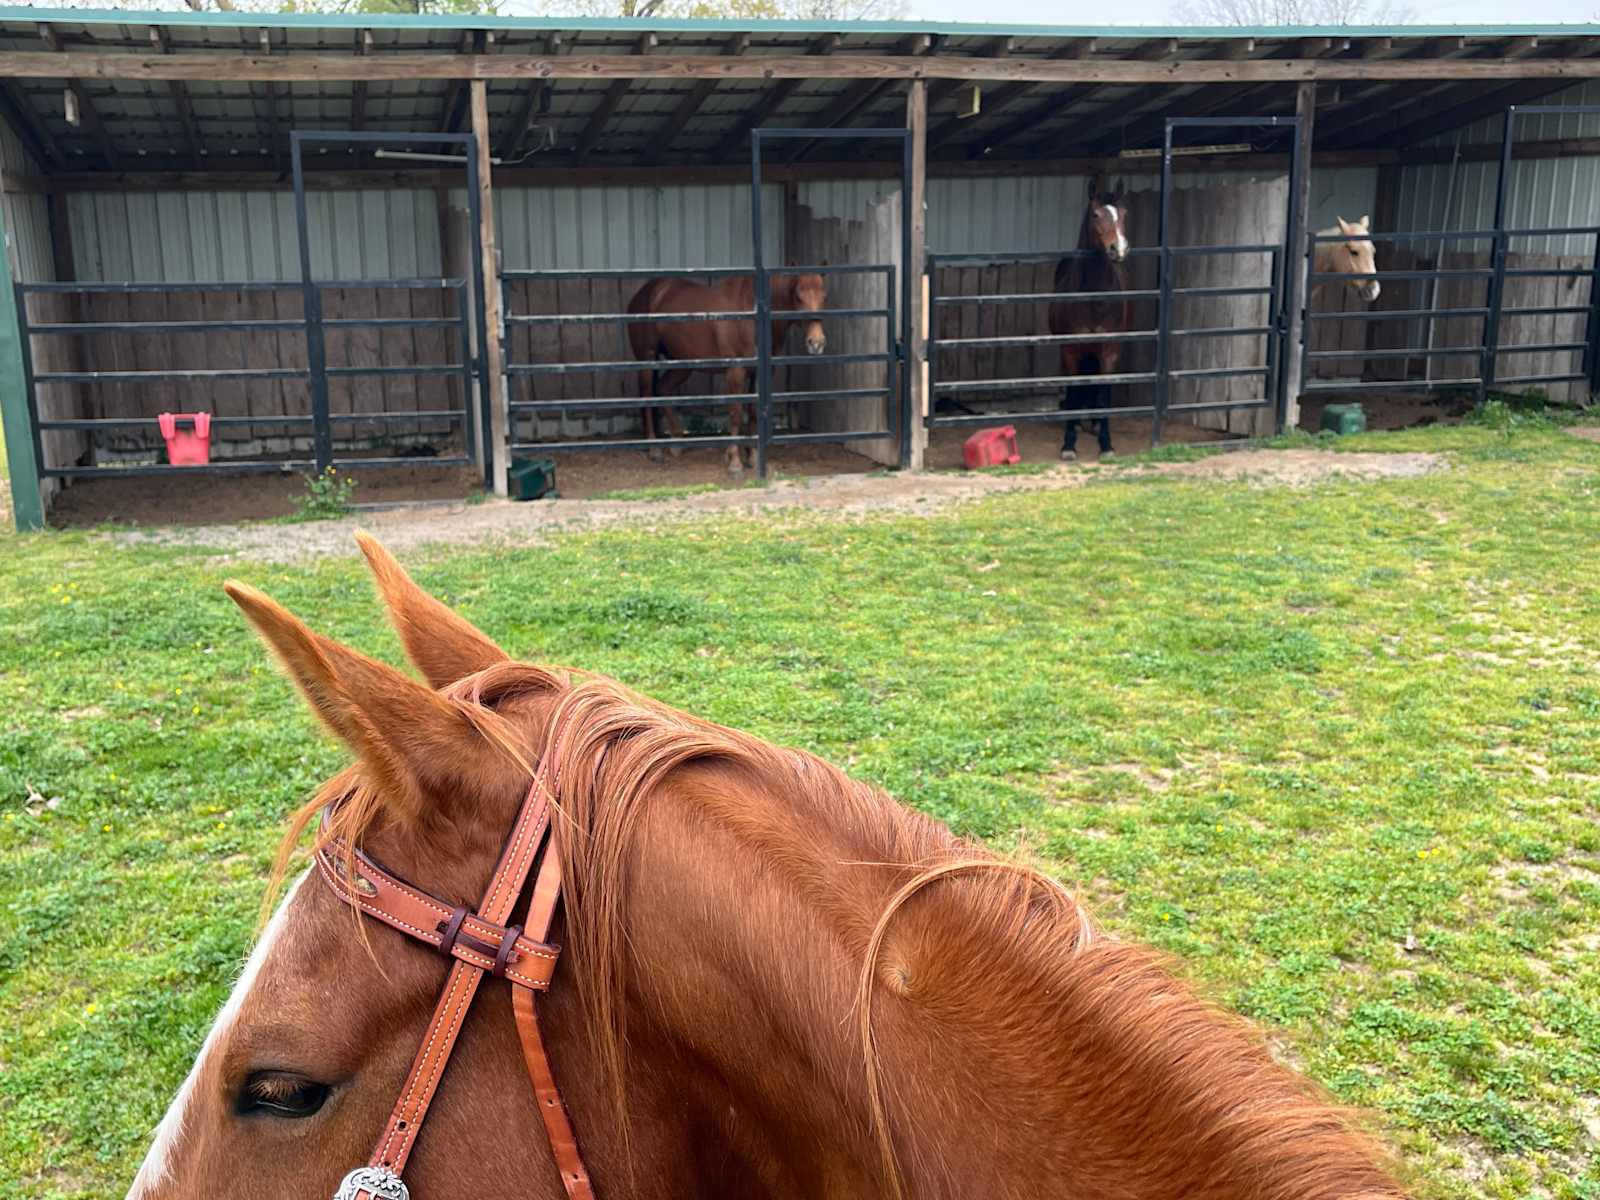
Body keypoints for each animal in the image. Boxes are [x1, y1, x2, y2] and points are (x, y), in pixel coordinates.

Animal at [627, 273, 827, 475]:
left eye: (824, 296)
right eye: (798, 296)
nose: (816, 343)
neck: (753, 314)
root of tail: (648, 292)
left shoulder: (759, 372)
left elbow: (753, 412)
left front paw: (753, 457)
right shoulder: (735, 372)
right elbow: (736, 413)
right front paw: (735, 462)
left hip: (682, 363)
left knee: (663, 389)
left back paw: (676, 441)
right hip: (648, 358)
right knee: (647, 396)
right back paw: (654, 449)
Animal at [1049, 185, 1133, 463]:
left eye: (1123, 213)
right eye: (1096, 215)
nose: (1118, 249)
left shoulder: (1110, 351)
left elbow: (1104, 391)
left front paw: (1106, 445)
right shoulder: (1071, 350)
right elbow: (1075, 392)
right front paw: (1068, 446)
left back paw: (1095, 425)